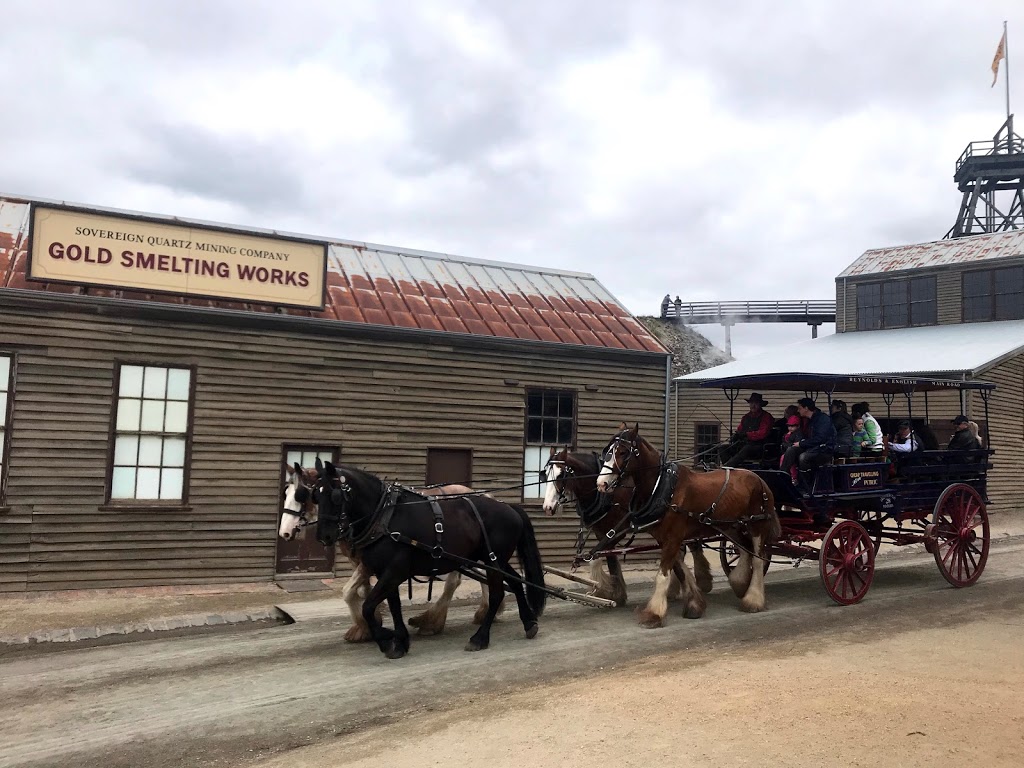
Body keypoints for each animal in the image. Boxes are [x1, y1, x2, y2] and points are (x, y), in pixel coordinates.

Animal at [276, 462, 499, 643]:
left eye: (302, 495)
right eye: (286, 494)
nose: (284, 532)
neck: (376, 511)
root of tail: (479, 493)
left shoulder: (370, 562)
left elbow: (348, 591)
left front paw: (364, 626)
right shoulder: (361, 560)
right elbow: (362, 591)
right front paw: (369, 624)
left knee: (455, 582)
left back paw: (431, 621)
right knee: (483, 575)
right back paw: (486, 612)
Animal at [315, 460, 548, 659]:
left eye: (335, 496)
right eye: (315, 495)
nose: (323, 536)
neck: (384, 517)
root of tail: (509, 507)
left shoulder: (395, 571)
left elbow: (369, 606)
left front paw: (385, 639)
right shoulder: (386, 572)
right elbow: (393, 605)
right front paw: (400, 641)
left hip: (493, 561)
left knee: (497, 593)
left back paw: (480, 638)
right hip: (496, 559)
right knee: (516, 582)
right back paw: (529, 623)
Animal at [540, 450, 716, 606]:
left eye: (561, 475)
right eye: (545, 475)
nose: (547, 507)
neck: (606, 495)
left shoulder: (616, 531)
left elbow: (599, 558)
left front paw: (612, 592)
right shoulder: (600, 532)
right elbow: (608, 560)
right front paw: (614, 592)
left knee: (690, 547)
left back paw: (702, 581)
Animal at [598, 423, 778, 626]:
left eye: (623, 452)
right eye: (607, 450)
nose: (601, 484)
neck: (664, 488)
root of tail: (759, 479)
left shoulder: (674, 537)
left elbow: (663, 575)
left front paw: (654, 613)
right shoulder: (665, 539)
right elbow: (680, 571)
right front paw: (694, 604)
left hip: (757, 525)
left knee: (757, 559)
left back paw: (753, 600)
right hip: (733, 526)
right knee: (745, 551)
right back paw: (740, 584)